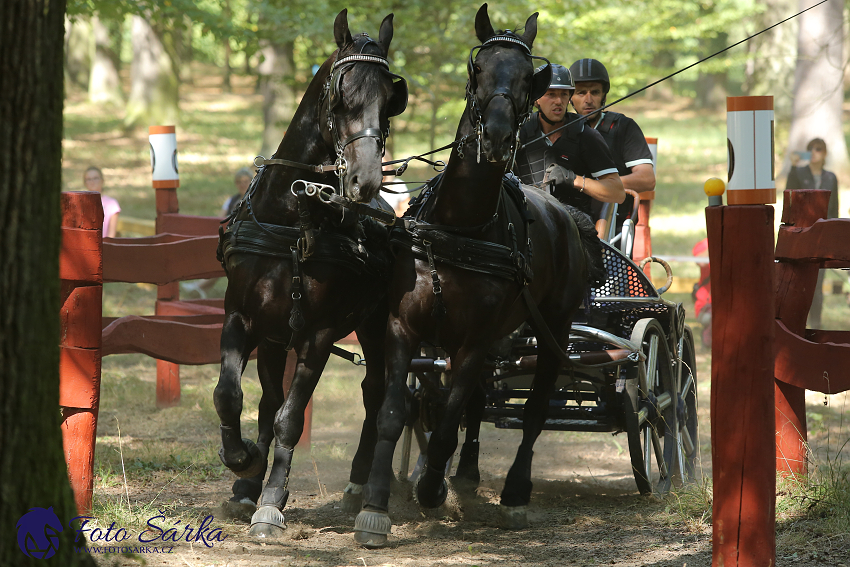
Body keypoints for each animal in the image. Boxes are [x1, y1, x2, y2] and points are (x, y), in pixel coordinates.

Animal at [215, 11, 408, 540]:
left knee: (375, 393)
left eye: (390, 101)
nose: (366, 180)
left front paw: (271, 502)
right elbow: (231, 395)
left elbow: (290, 418)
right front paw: (243, 463)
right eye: (342, 95)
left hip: (377, 327)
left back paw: (361, 485)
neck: (292, 217)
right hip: (277, 336)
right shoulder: (244, 319)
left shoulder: (317, 335)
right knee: (268, 400)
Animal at [352, 2, 604, 548]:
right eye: (479, 67)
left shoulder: (474, 341)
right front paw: (376, 506)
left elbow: (448, 420)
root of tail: (563, 212)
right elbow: (395, 413)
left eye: (529, 76)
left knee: (532, 410)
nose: (498, 133)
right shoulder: (405, 328)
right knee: (472, 403)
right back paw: (464, 475)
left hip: (554, 327)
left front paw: (430, 488)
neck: (461, 226)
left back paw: (512, 493)